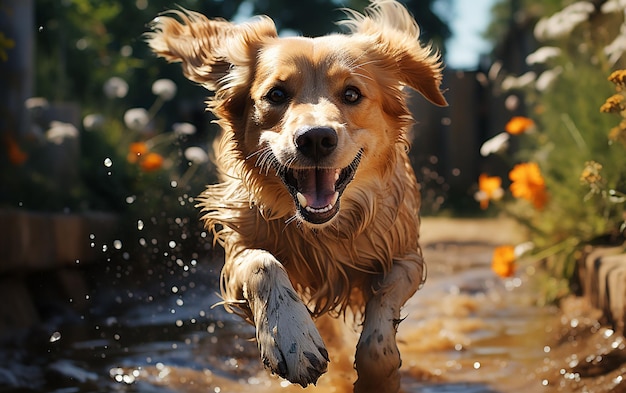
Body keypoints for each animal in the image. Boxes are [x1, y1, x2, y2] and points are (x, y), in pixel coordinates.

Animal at [146, 1, 444, 390]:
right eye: (276, 94)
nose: (315, 138)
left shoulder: (405, 254)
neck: (322, 232)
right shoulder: (238, 246)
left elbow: (380, 330)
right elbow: (262, 263)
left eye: (352, 94)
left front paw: (377, 379)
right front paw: (290, 336)